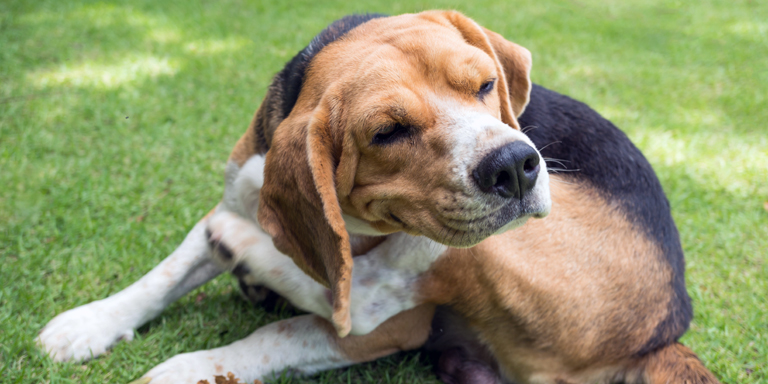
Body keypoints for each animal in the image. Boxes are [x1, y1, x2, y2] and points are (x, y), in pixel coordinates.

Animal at [36, 12, 720, 384]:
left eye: (485, 84)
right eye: (387, 132)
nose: (517, 166)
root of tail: (665, 329)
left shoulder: (392, 325)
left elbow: (283, 333)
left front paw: (189, 367)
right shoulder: (234, 193)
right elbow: (164, 274)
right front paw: (88, 324)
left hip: (487, 247)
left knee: (356, 299)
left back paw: (251, 253)